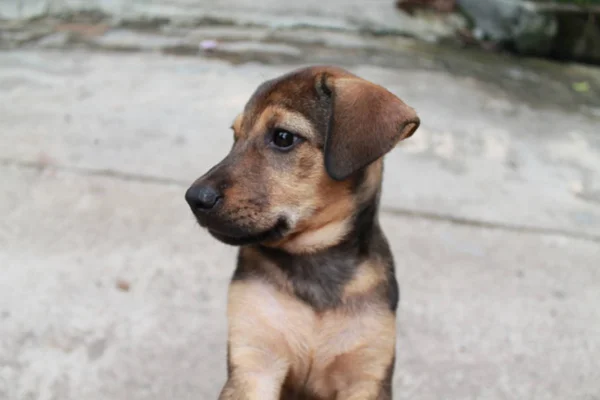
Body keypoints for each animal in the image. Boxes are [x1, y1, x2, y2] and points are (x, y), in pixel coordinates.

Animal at [185, 66, 420, 400]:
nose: (194, 198)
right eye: (235, 135)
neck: (313, 260)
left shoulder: (367, 374)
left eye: (283, 137)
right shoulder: (255, 362)